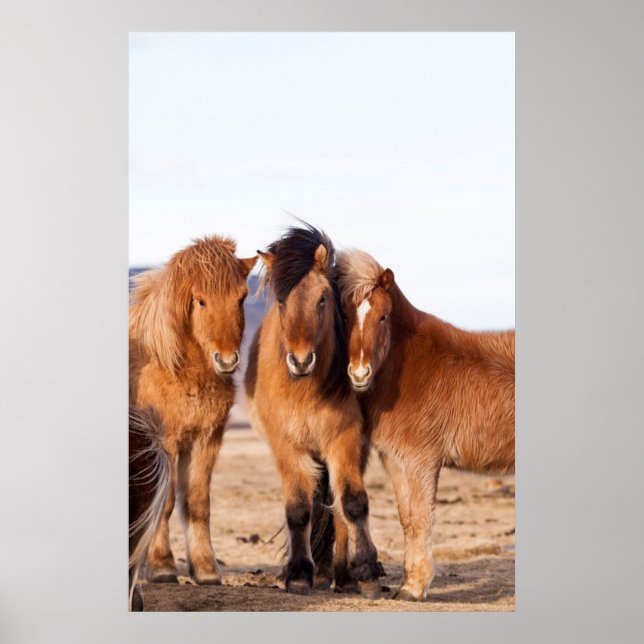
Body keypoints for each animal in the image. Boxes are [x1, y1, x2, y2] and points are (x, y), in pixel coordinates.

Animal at [129, 235, 257, 586]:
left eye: (242, 298)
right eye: (200, 301)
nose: (226, 360)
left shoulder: (206, 439)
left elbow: (198, 503)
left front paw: (205, 569)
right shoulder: (167, 441)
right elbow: (166, 501)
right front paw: (162, 566)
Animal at [244, 224, 382, 598]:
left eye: (322, 299)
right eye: (281, 301)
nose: (302, 360)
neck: (304, 391)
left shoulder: (344, 440)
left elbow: (353, 504)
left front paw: (367, 570)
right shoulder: (286, 445)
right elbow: (298, 509)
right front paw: (299, 574)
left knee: (339, 508)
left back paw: (343, 575)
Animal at [334, 249, 515, 601]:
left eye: (382, 317)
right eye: (345, 316)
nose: (359, 374)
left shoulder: (422, 462)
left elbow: (420, 518)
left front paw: (415, 587)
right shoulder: (396, 461)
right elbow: (407, 519)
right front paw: (408, 582)